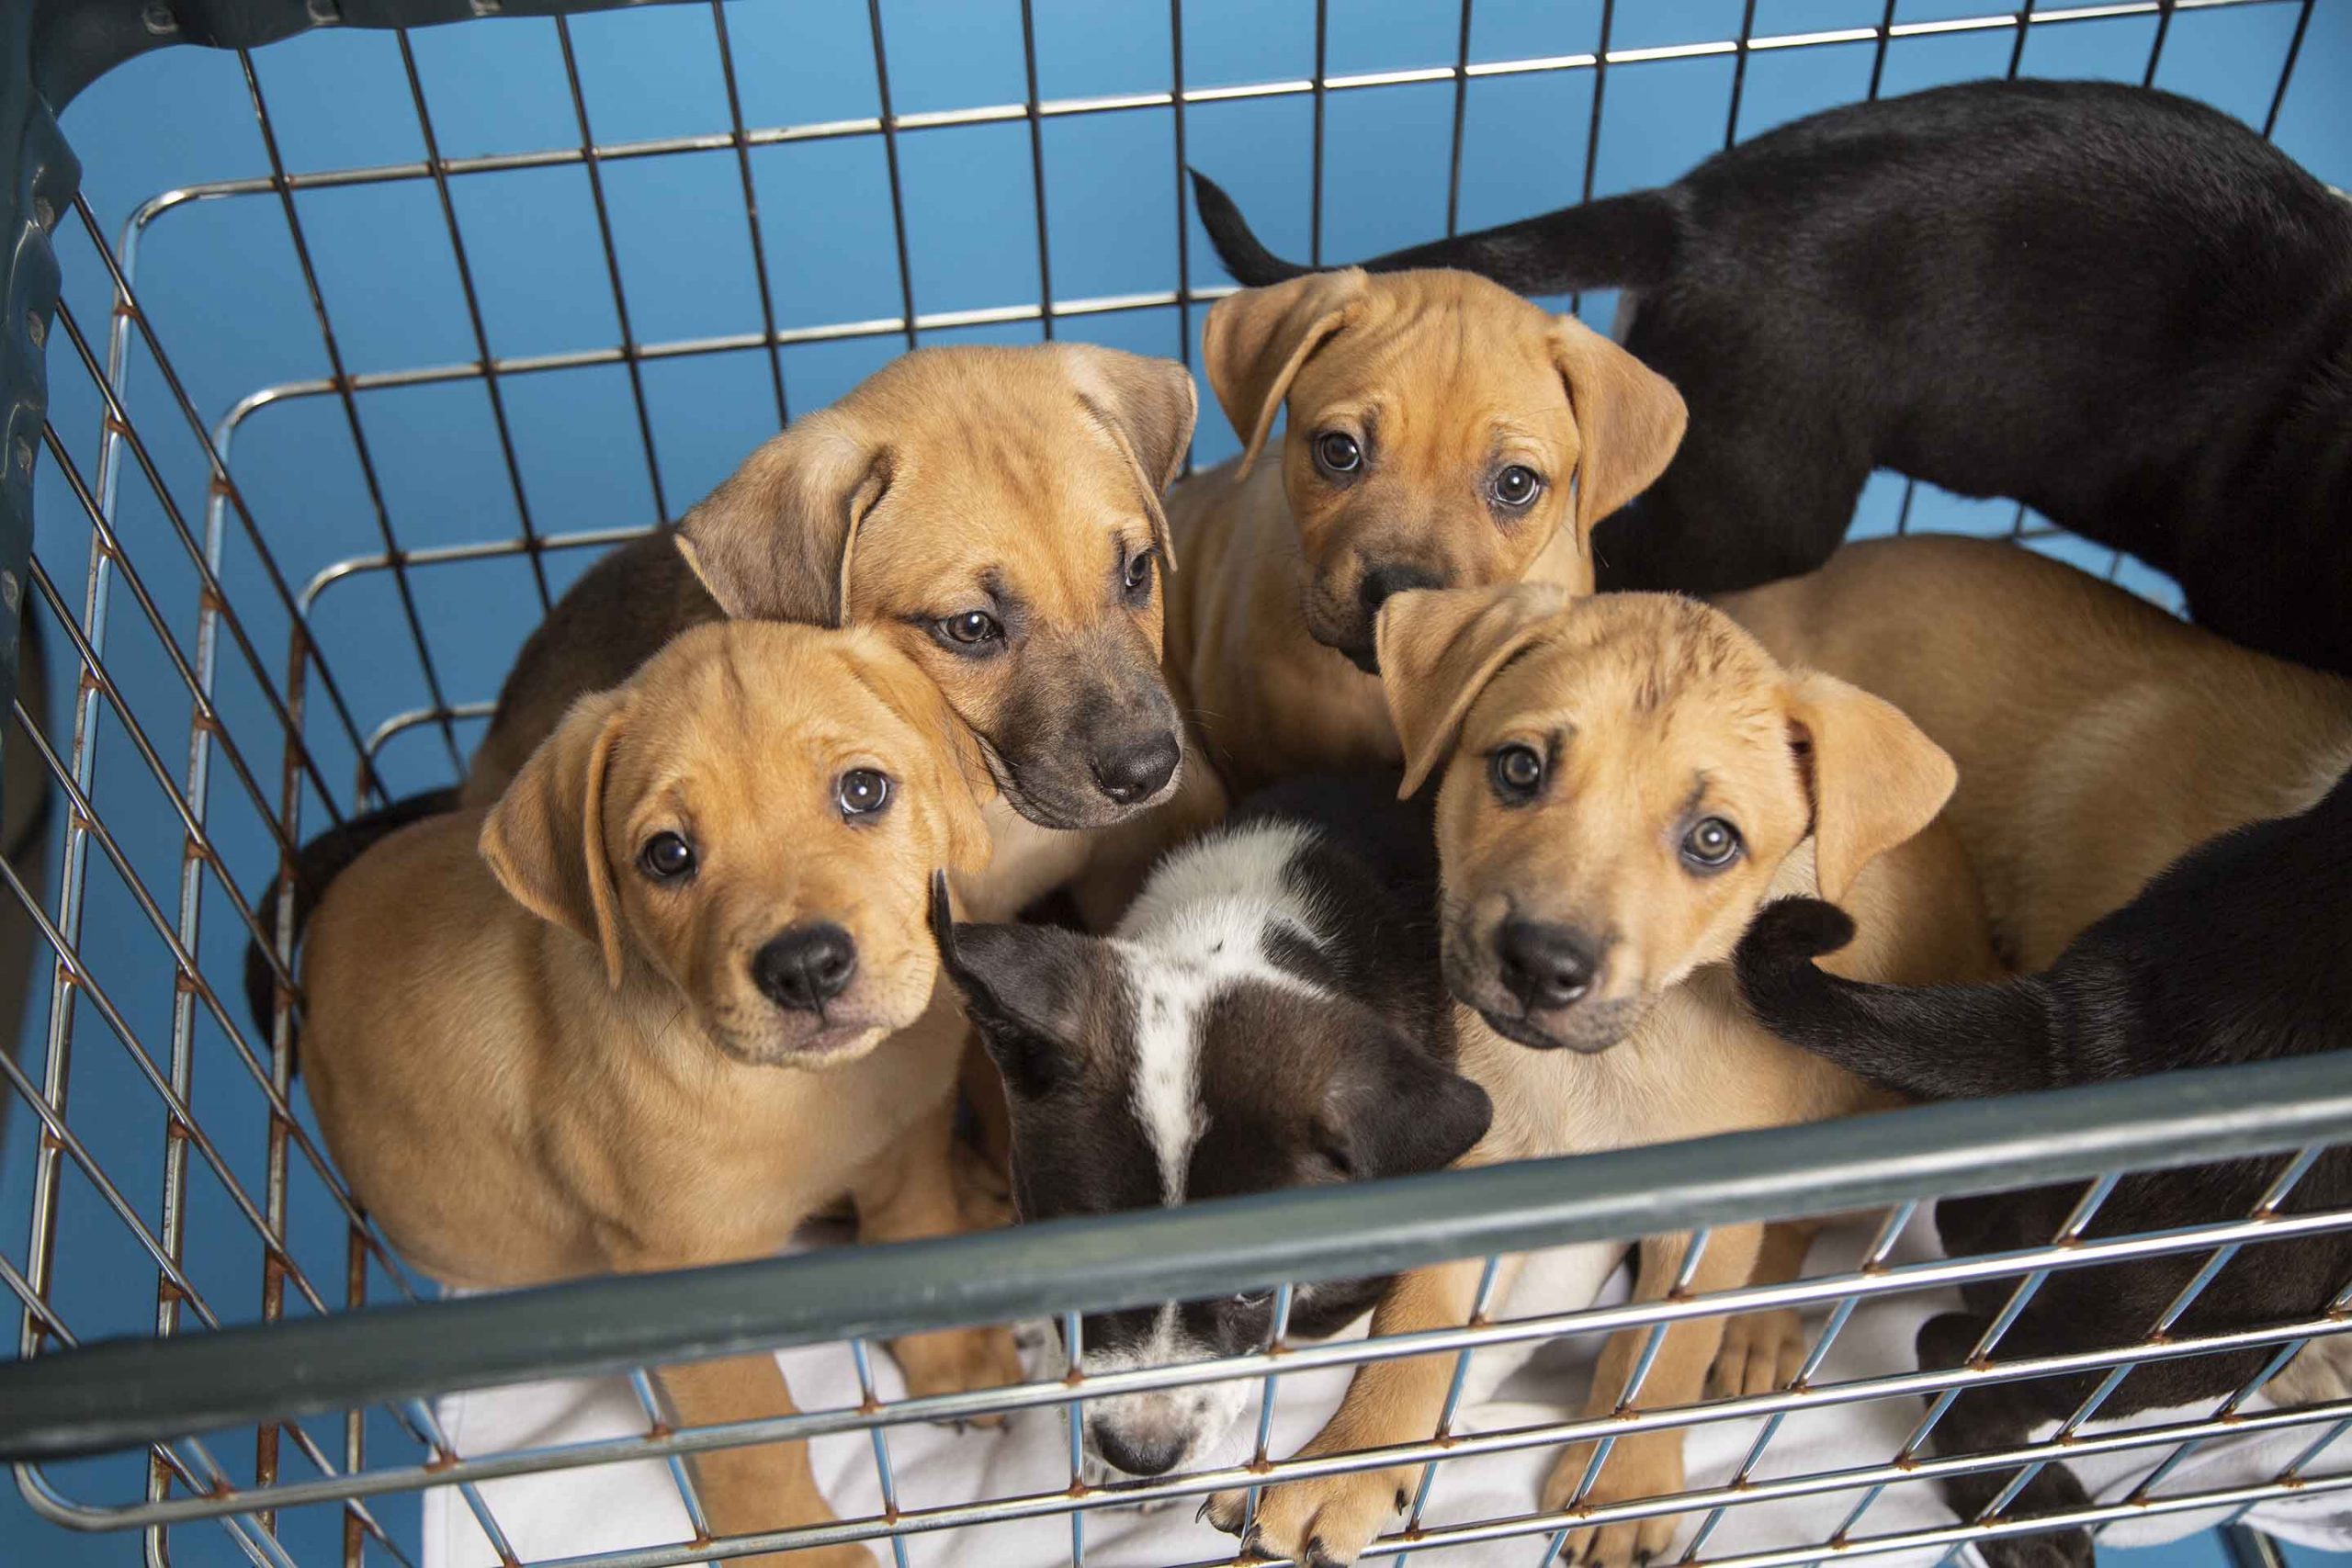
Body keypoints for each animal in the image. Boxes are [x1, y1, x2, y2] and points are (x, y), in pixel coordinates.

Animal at [1213, 585, 2004, 1568]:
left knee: (1793, 1231)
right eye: (1519, 768)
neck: (1599, 1073)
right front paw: (1345, 1463)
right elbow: (1413, 1332)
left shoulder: (1702, 1226)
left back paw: (1759, 1326)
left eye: (1713, 839)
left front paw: (1623, 1487)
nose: (1542, 963)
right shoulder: (1475, 1176)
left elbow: (1662, 1356)